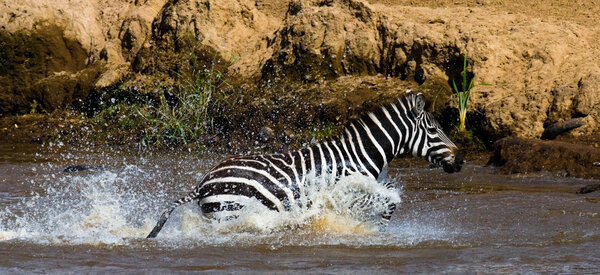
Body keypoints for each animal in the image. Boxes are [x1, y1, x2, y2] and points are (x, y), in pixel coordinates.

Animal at [146, 90, 464, 239]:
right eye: (434, 130)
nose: (461, 160)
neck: (357, 155)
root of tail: (202, 183)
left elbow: (390, 200)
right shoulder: (346, 193)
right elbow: (388, 203)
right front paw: (371, 228)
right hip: (229, 214)